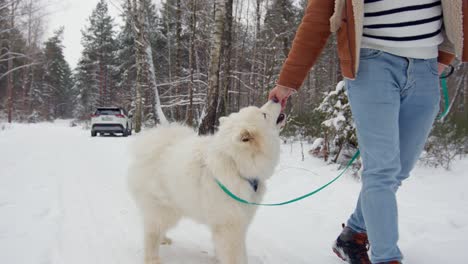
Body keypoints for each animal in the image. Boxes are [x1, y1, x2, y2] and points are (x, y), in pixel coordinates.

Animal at [128, 100, 286, 264]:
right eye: (264, 114)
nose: (275, 99)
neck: (235, 164)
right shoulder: (230, 226)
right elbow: (236, 255)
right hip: (162, 208)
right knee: (151, 234)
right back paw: (153, 258)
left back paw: (164, 239)